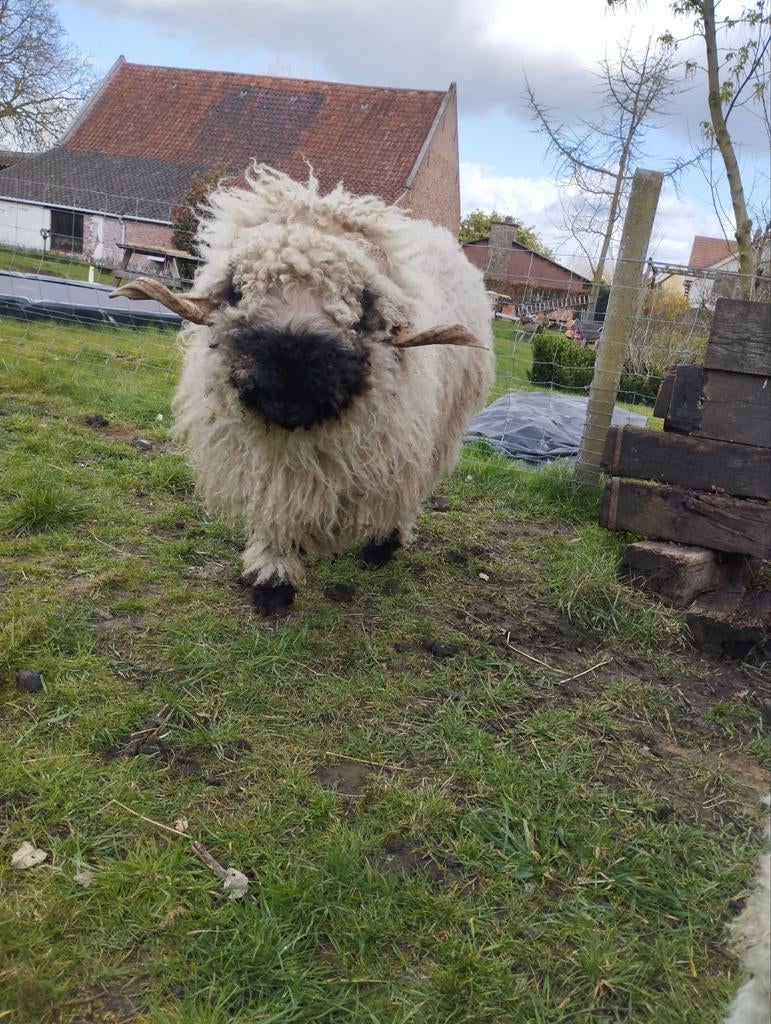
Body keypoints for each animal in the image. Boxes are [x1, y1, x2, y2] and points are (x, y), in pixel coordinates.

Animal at [113, 164, 495, 613]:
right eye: (237, 293)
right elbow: (276, 515)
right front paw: (273, 581)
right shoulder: (267, 467)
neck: (299, 439)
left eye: (361, 309)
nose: (289, 386)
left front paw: (379, 546)